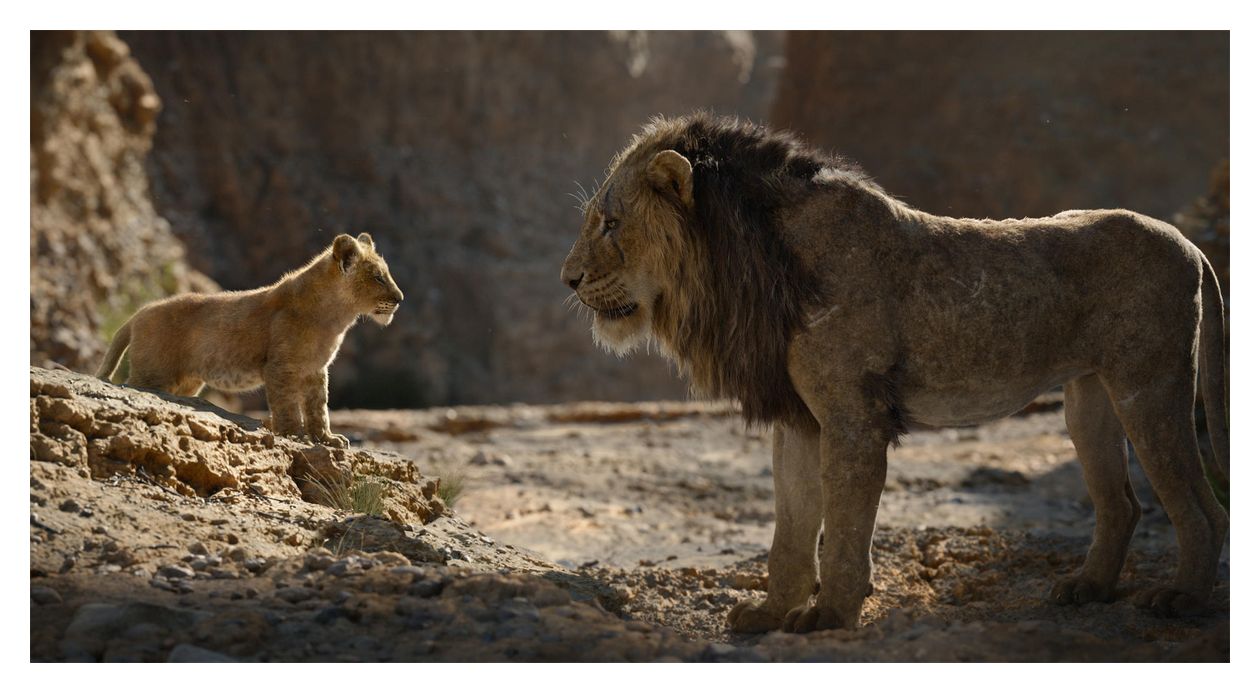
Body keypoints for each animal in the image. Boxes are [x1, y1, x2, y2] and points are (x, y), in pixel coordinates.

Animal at [97, 233, 404, 448]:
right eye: (378, 277)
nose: (400, 299)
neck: (336, 317)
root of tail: (138, 313)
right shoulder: (280, 366)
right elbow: (287, 405)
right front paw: (294, 435)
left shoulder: (316, 369)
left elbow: (319, 406)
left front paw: (327, 439)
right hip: (153, 375)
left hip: (185, 382)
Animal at [560, 113, 1229, 633]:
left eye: (611, 224)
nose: (568, 279)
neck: (748, 262)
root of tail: (1190, 243)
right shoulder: (799, 418)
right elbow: (791, 527)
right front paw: (771, 613)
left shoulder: (852, 416)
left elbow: (844, 524)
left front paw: (829, 617)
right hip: (1088, 398)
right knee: (1123, 503)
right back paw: (1086, 588)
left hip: (1149, 386)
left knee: (1201, 506)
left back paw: (1183, 599)